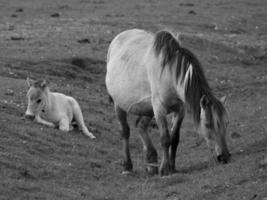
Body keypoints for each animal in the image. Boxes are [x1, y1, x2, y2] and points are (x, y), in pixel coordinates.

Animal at [105, 28, 231, 176]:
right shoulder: (159, 108)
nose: (224, 157)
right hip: (119, 105)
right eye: (208, 124)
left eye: (227, 123)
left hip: (148, 110)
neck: (169, 73)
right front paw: (165, 169)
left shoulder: (180, 109)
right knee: (125, 131)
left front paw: (172, 167)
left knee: (141, 126)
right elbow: (165, 139)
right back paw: (127, 166)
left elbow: (174, 138)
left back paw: (151, 163)